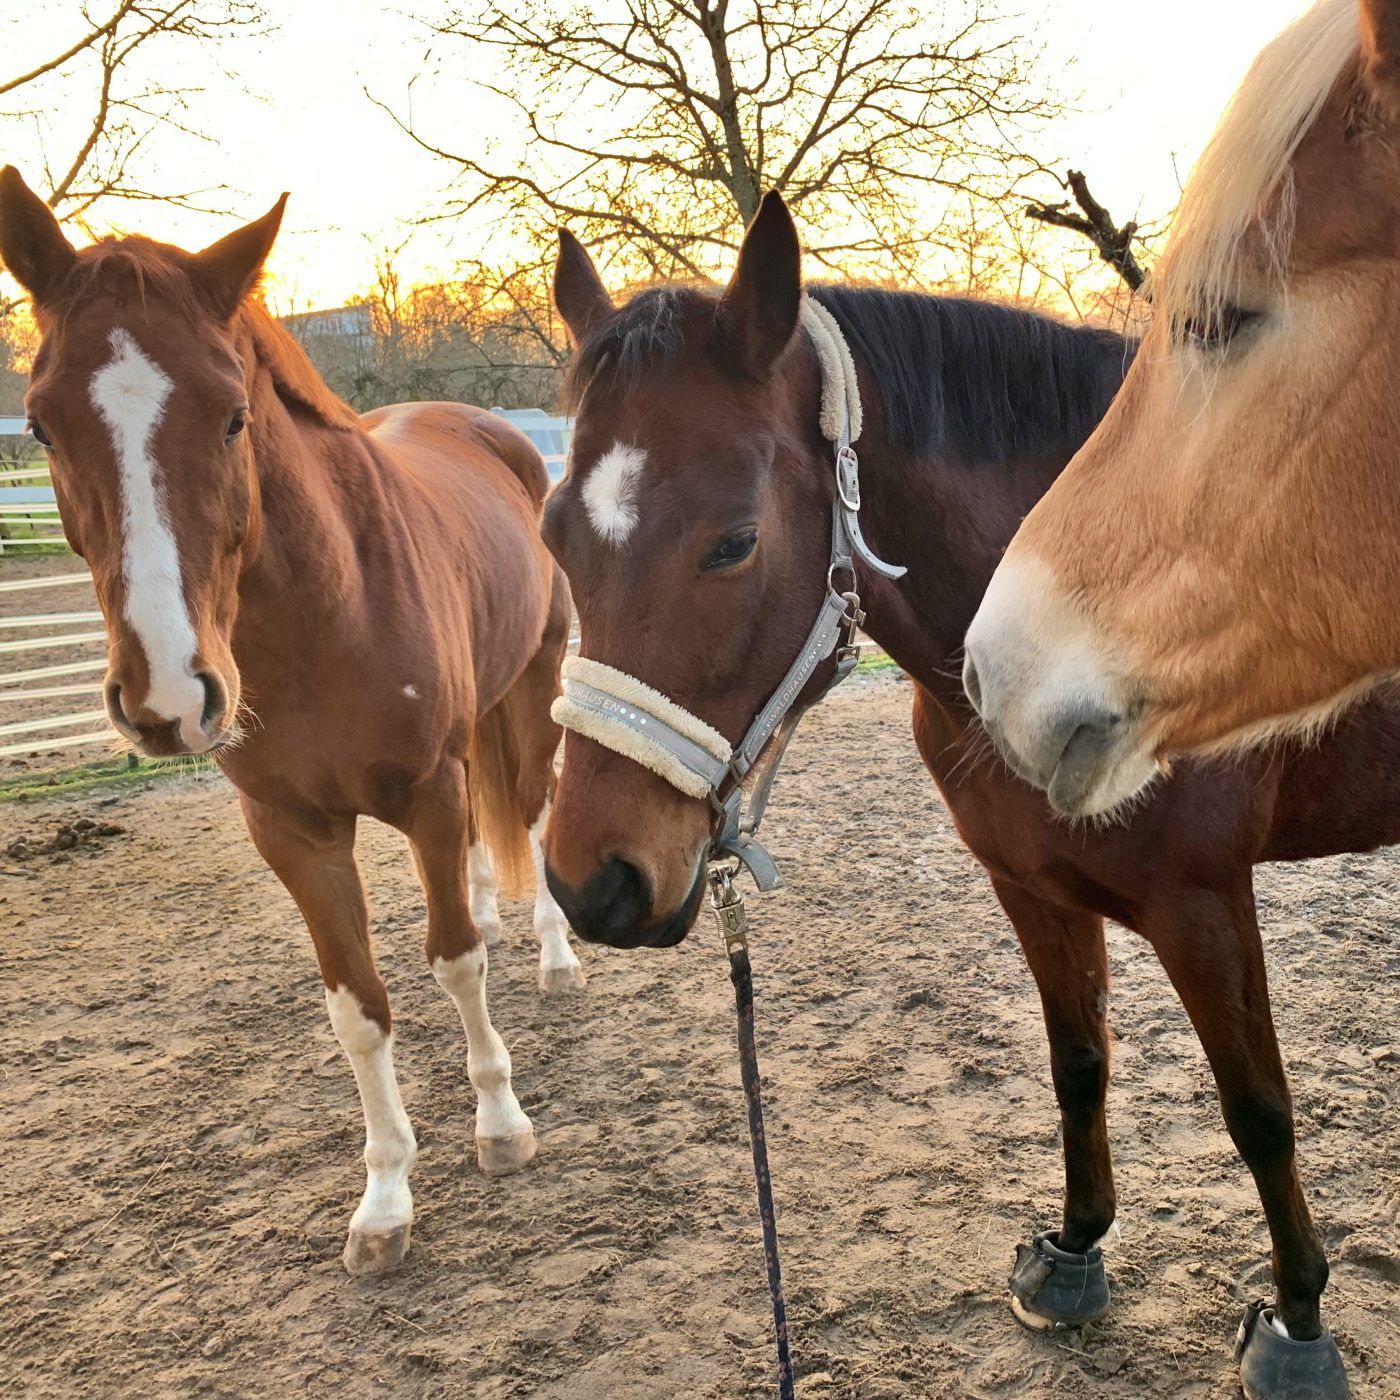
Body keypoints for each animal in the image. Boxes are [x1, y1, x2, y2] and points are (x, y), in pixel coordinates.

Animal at [0, 167, 586, 1277]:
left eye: (233, 416)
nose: (169, 695)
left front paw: (499, 1122)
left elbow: (455, 963)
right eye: (43, 425)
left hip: (531, 692)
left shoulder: (428, 791)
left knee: (531, 819)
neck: (327, 614)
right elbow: (356, 1008)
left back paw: (553, 954)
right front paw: (386, 1195)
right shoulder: (292, 832)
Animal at [539, 192, 1395, 1397]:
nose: (593, 883)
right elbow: (1078, 1064)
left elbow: (1258, 1112)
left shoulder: (1203, 902)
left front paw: (1299, 1324)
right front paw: (1075, 1252)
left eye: (735, 540)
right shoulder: (1030, 884)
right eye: (552, 532)